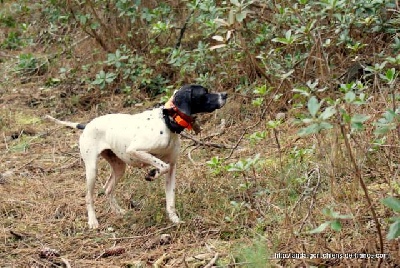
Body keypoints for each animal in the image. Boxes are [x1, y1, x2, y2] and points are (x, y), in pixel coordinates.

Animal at [45, 84, 227, 228]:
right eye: (204, 93)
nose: (225, 94)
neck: (167, 120)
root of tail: (87, 124)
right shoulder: (136, 150)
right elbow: (162, 165)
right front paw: (151, 174)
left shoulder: (173, 169)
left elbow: (170, 198)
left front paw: (175, 220)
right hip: (92, 169)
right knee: (88, 196)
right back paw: (93, 221)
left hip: (119, 167)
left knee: (107, 189)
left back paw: (119, 211)